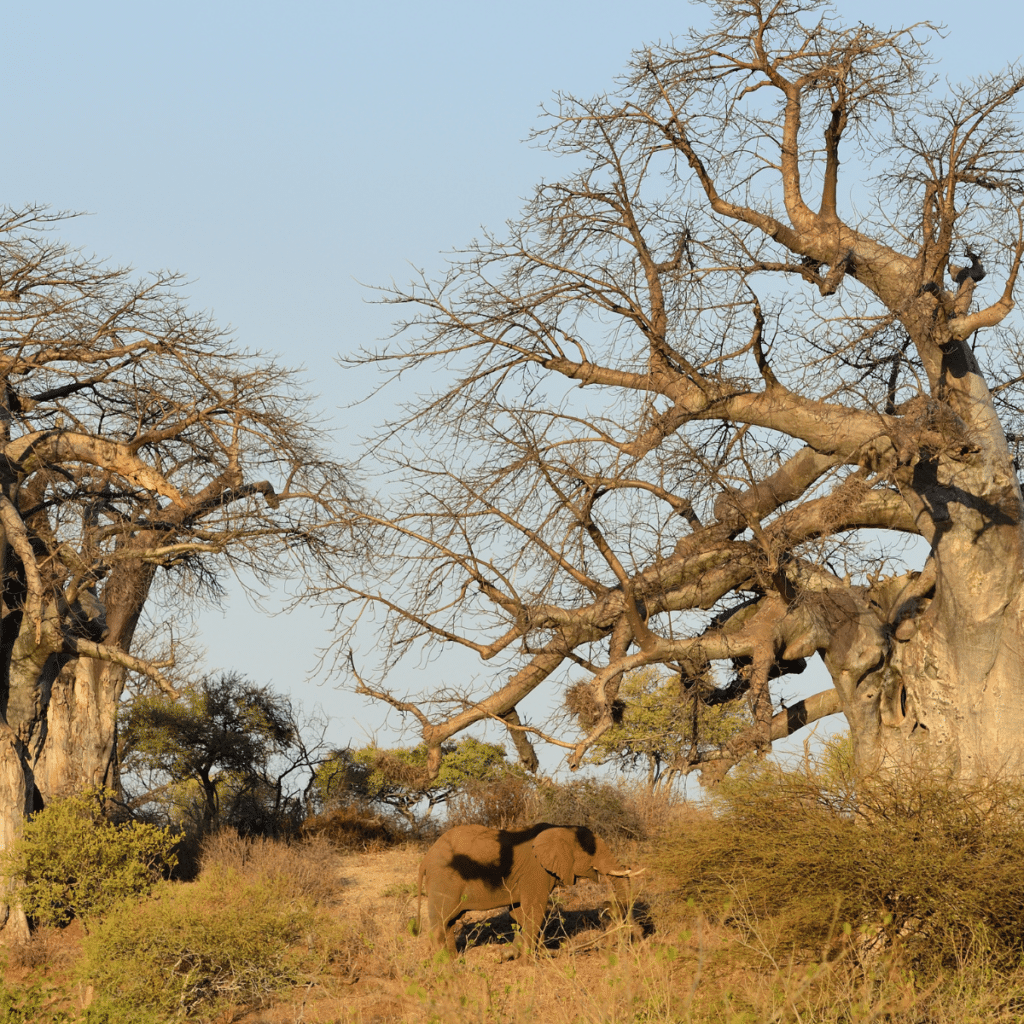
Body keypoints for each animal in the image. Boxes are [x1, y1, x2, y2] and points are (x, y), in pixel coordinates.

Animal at [409, 819, 634, 954]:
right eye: (592, 852)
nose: (607, 906)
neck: (560, 828)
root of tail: (425, 860)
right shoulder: (537, 871)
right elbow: (535, 910)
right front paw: (531, 960)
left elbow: (519, 913)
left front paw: (522, 953)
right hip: (445, 881)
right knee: (441, 922)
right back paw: (445, 966)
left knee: (449, 922)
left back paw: (453, 960)